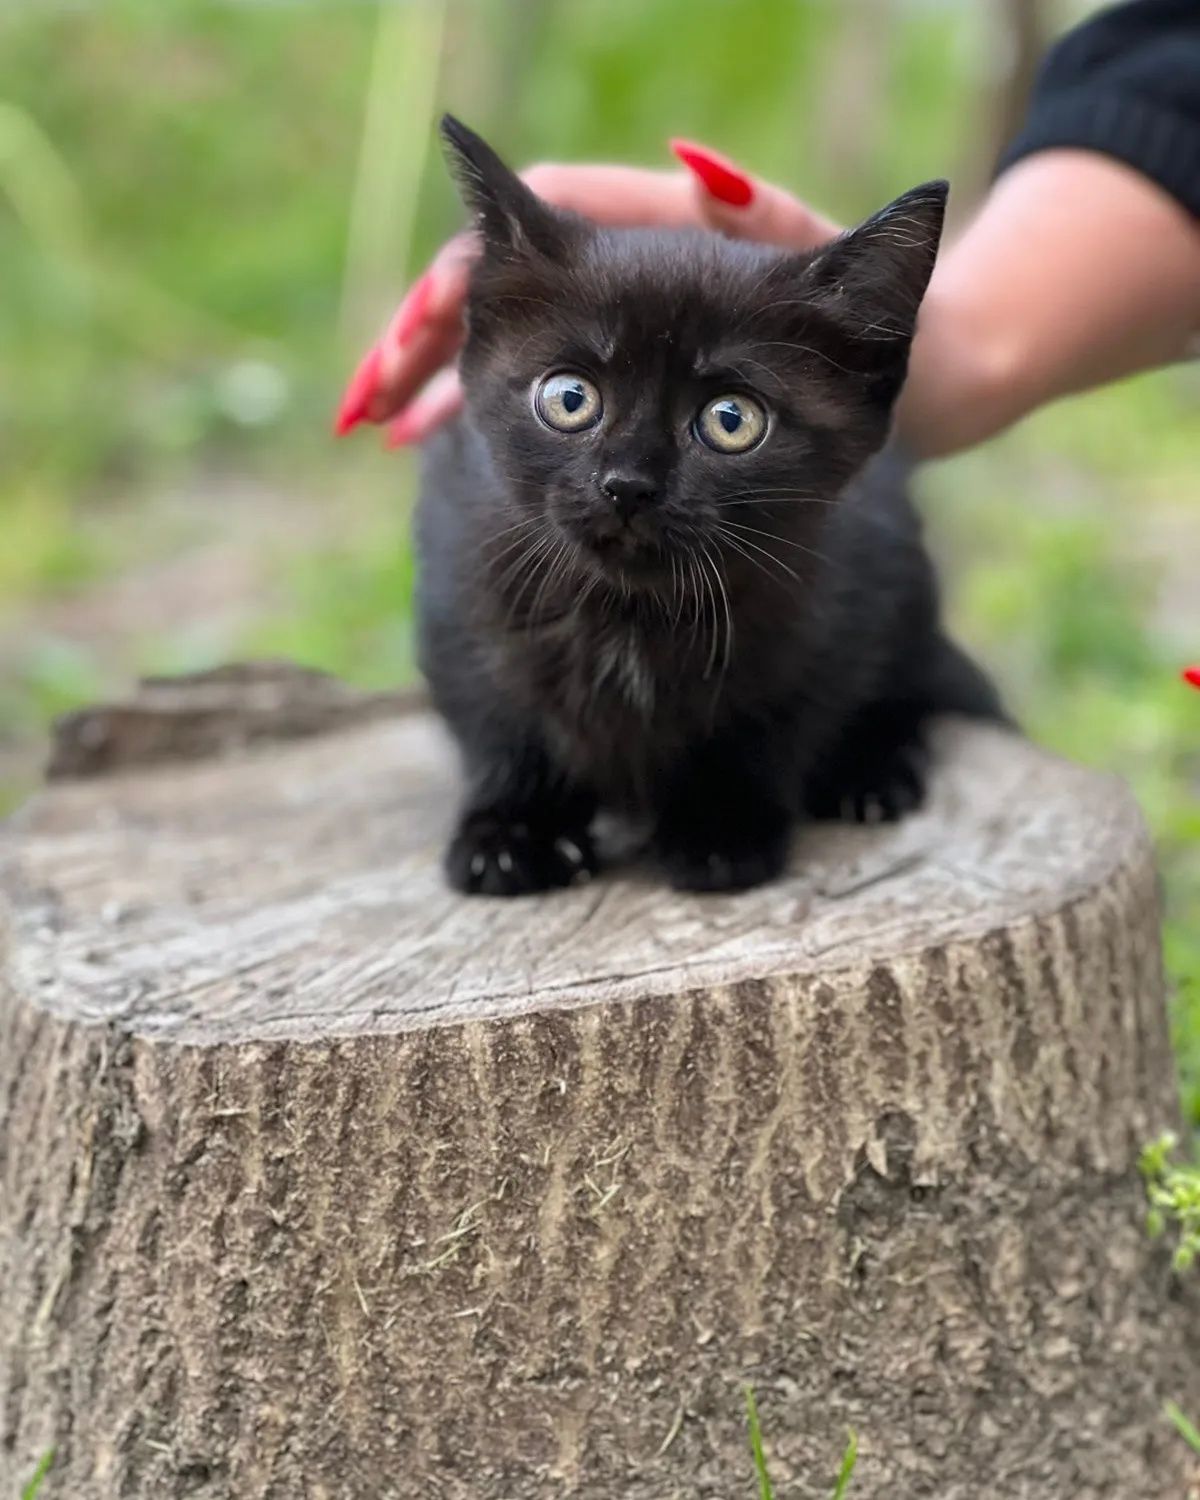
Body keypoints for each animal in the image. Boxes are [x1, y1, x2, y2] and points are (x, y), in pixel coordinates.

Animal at [414, 117, 1002, 894]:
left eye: (731, 419)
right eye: (569, 398)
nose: (628, 484)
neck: (631, 615)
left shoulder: (837, 599)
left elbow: (773, 719)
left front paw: (720, 827)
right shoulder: (455, 583)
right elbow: (498, 716)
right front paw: (514, 830)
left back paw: (871, 772)